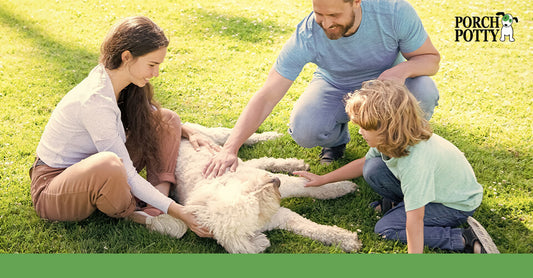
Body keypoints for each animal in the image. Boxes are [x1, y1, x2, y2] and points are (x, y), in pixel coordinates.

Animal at [132, 122, 362, 253]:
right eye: (256, 204)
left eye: (249, 192)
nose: (274, 182)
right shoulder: (280, 215)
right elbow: (309, 227)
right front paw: (345, 239)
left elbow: (309, 186)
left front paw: (341, 186)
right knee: (259, 160)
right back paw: (291, 163)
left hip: (212, 136)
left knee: (239, 137)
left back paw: (272, 138)